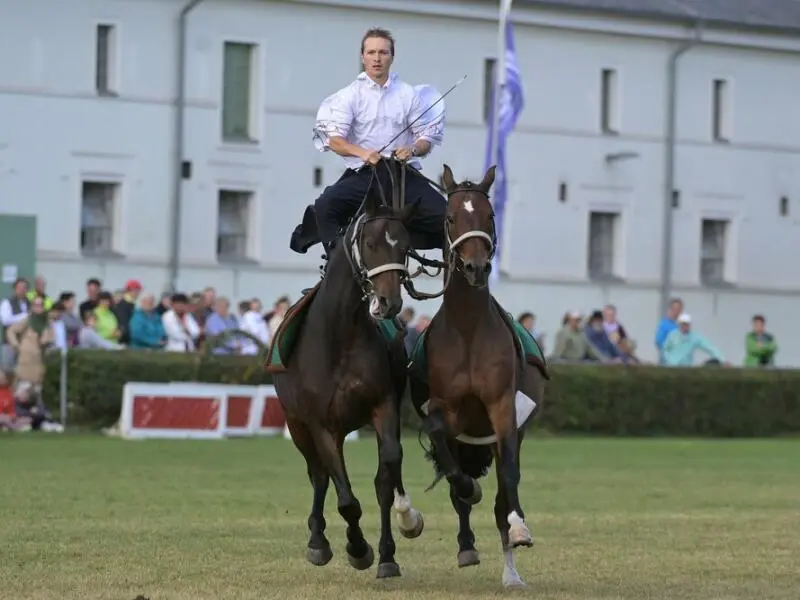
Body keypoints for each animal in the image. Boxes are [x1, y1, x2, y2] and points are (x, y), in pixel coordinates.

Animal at [270, 179, 424, 580]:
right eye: (369, 243)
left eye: (405, 246)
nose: (389, 302)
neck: (339, 336)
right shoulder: (320, 424)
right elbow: (345, 498)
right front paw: (357, 548)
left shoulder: (383, 405)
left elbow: (386, 474)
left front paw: (387, 553)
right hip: (297, 424)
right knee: (319, 475)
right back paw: (318, 541)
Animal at [410, 164, 548, 592]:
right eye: (451, 217)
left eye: (489, 216)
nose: (476, 267)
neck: (468, 329)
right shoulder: (445, 407)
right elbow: (443, 446)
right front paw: (468, 493)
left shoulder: (503, 406)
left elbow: (508, 479)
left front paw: (519, 530)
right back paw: (467, 544)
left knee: (504, 490)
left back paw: (511, 572)